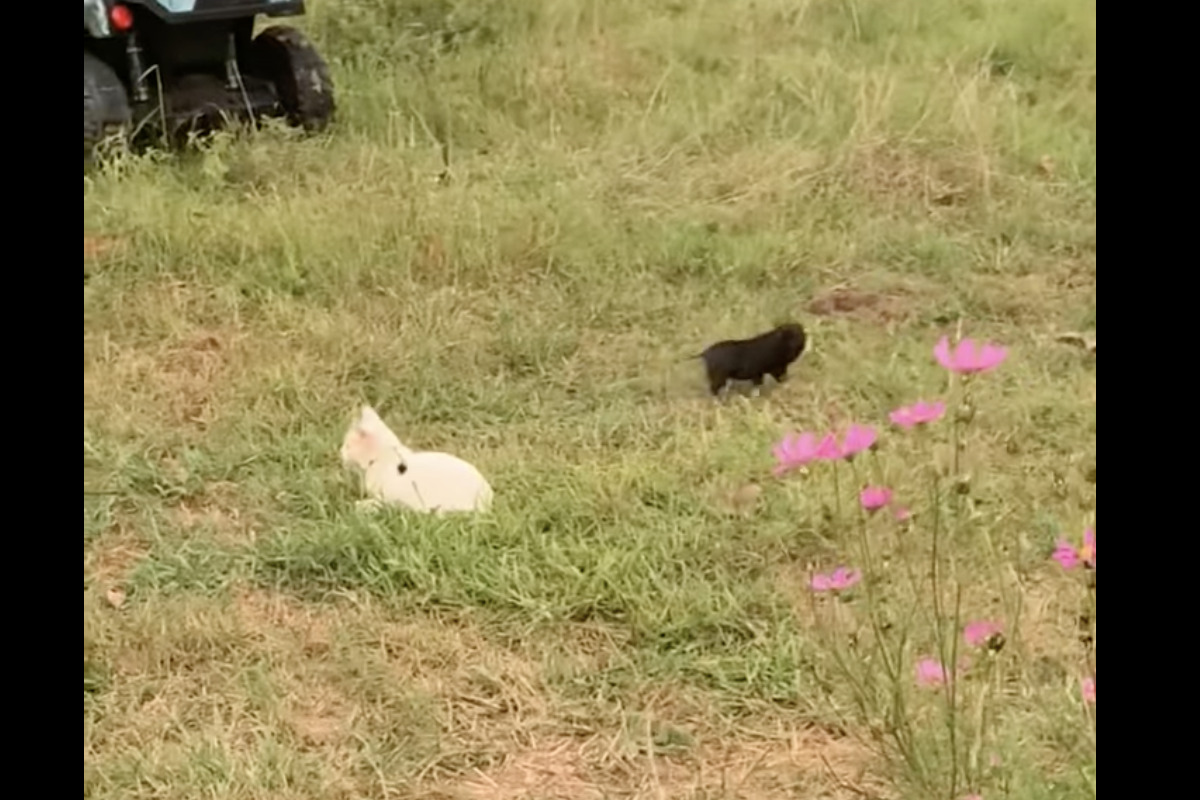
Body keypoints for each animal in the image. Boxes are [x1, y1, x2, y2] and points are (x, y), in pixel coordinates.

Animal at [338, 407, 492, 513]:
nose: (340, 453)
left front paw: (358, 505)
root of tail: (485, 498)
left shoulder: (383, 497)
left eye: (347, 445)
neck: (383, 456)